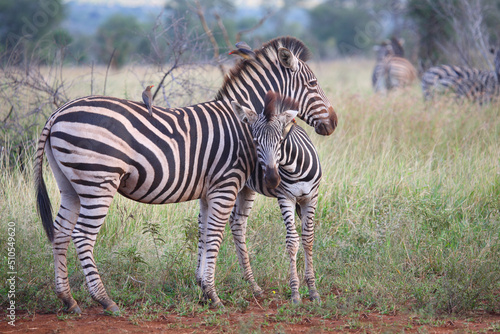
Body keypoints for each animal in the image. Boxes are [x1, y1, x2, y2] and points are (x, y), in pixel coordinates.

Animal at [229, 90, 320, 302]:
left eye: (280, 141)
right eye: (255, 142)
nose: (271, 179)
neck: (295, 167)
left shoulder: (311, 197)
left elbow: (308, 238)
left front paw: (313, 290)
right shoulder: (285, 198)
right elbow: (292, 241)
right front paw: (295, 292)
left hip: (245, 189)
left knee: (237, 224)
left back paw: (251, 283)